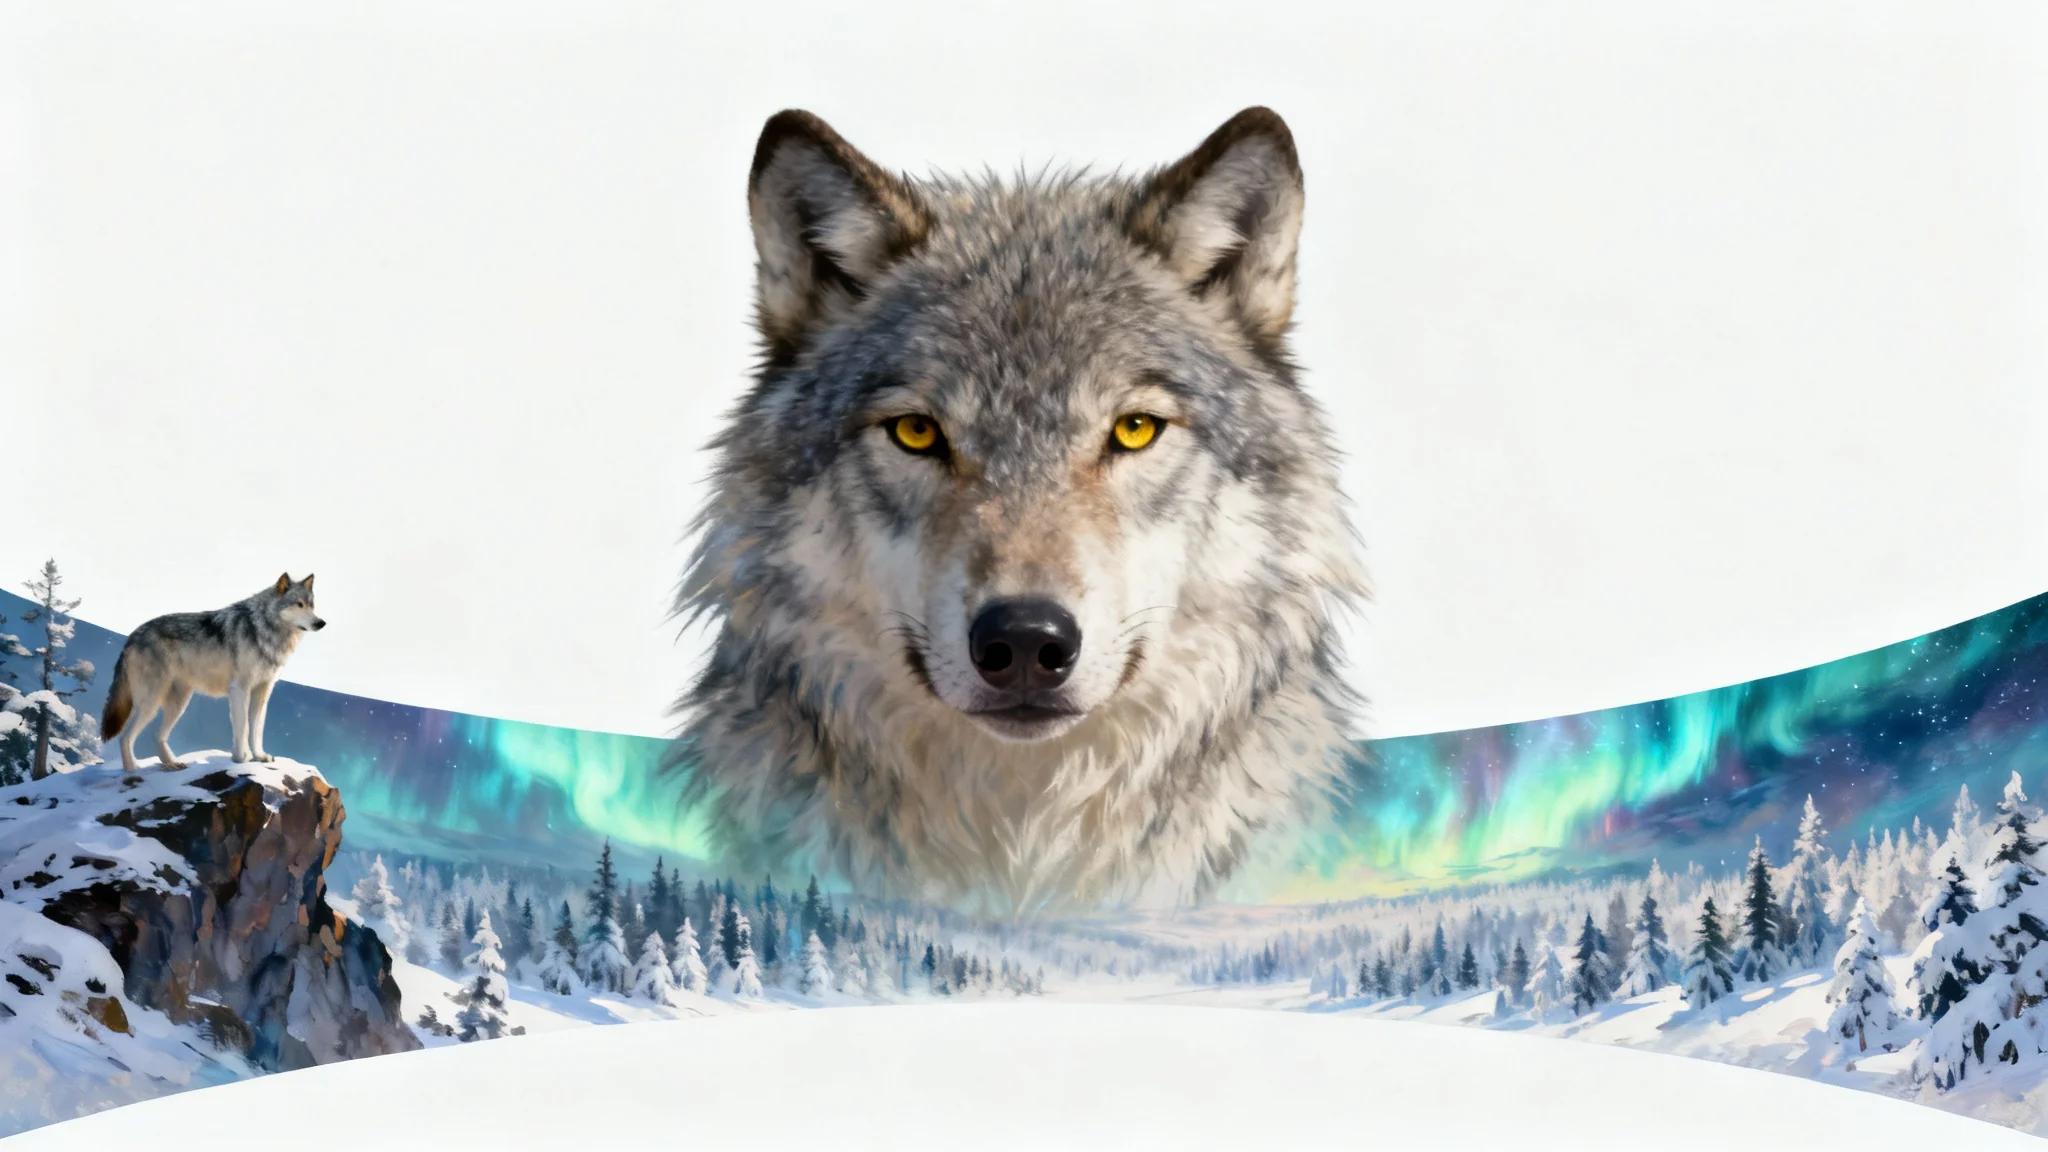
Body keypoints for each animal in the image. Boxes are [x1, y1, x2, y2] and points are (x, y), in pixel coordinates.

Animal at [100, 573, 325, 772]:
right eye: (298, 604)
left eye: (312, 605)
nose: (321, 623)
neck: (265, 630)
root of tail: (131, 636)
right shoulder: (240, 689)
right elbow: (243, 728)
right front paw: (241, 758)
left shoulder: (262, 693)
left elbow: (257, 729)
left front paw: (260, 756)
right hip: (151, 703)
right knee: (125, 737)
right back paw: (132, 771)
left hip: (179, 703)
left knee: (156, 734)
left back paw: (172, 764)